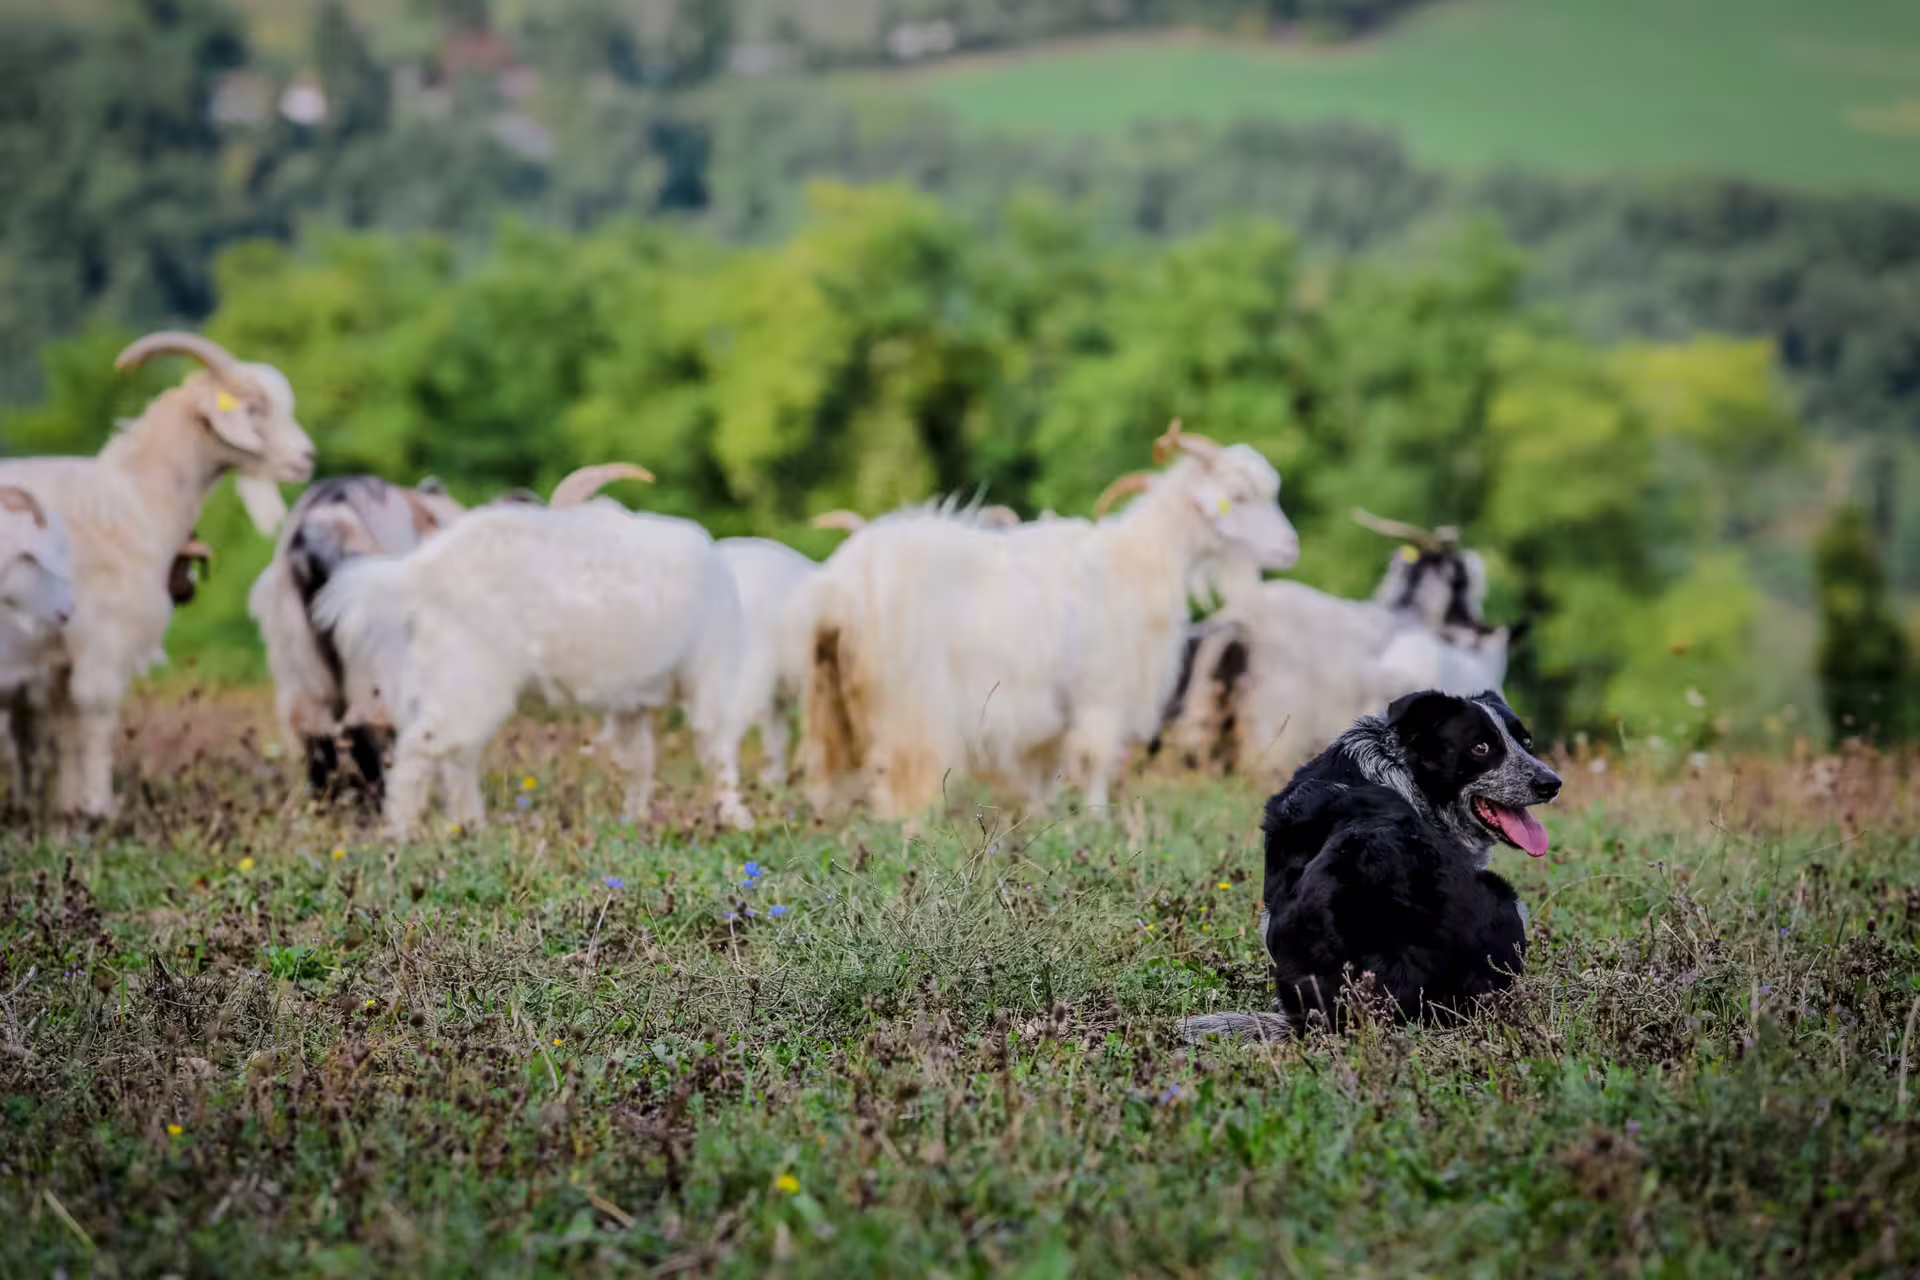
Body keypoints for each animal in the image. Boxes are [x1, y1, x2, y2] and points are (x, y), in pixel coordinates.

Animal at [0, 332, 314, 817]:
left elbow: (58, 729)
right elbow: (94, 716)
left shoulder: (54, 660)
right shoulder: (105, 636)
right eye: (254, 409)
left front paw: (66, 806)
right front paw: (99, 808)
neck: (137, 497)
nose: (307, 458)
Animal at [313, 501, 755, 839]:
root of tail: (422, 569)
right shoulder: (711, 675)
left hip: (449, 678)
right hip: (472, 676)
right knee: (424, 747)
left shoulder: (629, 702)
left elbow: (638, 760)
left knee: (455, 753)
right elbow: (717, 749)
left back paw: (469, 826)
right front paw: (736, 818)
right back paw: (402, 832)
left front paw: (635, 819)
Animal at [802, 421, 1300, 821]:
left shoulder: (1050, 720)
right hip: (911, 705)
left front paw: (1042, 822)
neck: (1138, 561)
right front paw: (1098, 824)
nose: (1290, 547)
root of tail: (839, 588)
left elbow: (1044, 776)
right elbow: (1097, 764)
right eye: (1237, 498)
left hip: (831, 700)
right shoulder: (1103, 694)